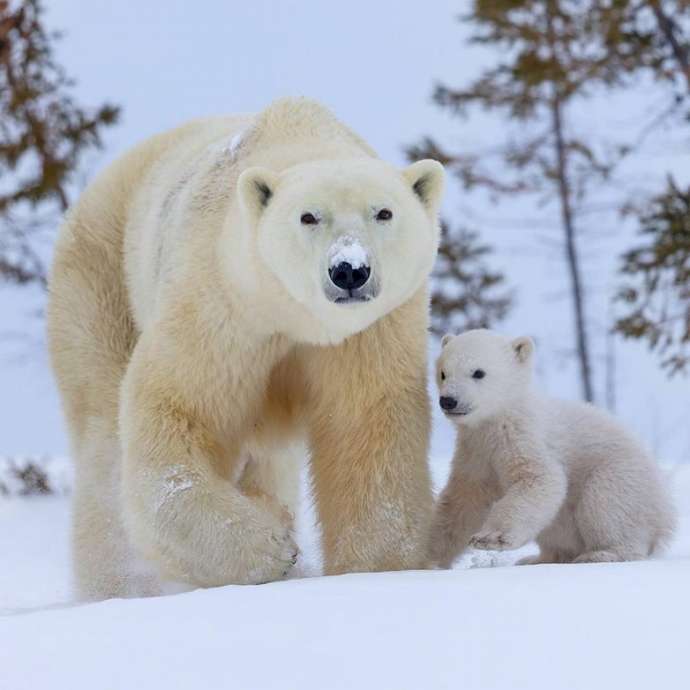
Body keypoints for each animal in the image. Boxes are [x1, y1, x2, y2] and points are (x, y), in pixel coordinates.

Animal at [49, 98, 446, 596]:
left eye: (384, 213)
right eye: (308, 216)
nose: (349, 270)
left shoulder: (371, 331)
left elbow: (368, 424)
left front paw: (379, 568)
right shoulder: (219, 304)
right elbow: (179, 414)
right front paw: (271, 551)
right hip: (101, 276)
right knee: (103, 434)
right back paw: (119, 586)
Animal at [428, 330, 676, 568]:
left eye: (478, 372)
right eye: (443, 372)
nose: (448, 400)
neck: (497, 421)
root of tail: (665, 519)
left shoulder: (524, 438)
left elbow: (540, 479)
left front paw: (491, 537)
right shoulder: (474, 451)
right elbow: (462, 501)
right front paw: (429, 555)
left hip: (624, 476)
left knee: (605, 503)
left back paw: (602, 553)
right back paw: (537, 559)